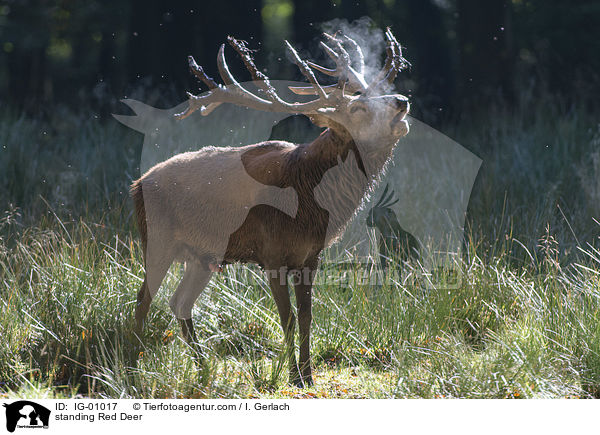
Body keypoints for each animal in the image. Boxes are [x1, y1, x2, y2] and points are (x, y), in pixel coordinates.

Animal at [130, 29, 412, 386]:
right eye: (359, 108)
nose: (401, 101)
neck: (308, 201)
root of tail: (136, 184)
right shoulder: (272, 253)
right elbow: (287, 317)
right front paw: (292, 376)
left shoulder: (310, 256)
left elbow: (306, 316)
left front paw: (308, 375)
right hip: (158, 239)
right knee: (143, 300)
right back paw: (132, 365)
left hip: (202, 256)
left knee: (179, 302)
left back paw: (204, 369)